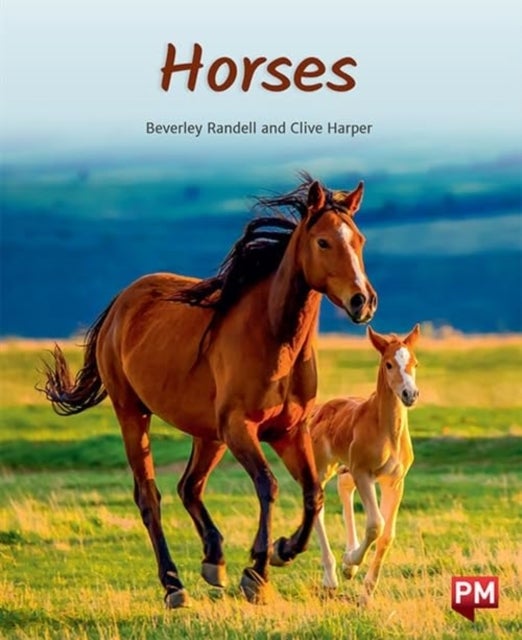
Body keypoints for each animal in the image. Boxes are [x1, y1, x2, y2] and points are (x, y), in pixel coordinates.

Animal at [40, 174, 378, 607]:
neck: (274, 339)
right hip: (134, 414)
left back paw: (213, 560)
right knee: (149, 497)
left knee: (189, 487)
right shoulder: (240, 429)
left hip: (207, 435)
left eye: (360, 240)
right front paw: (256, 573)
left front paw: (282, 550)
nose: (363, 301)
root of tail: (121, 303)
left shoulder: (288, 432)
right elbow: (268, 486)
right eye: (323, 242)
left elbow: (313, 493)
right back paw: (173, 585)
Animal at [309, 324, 420, 605]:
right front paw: (350, 561)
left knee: (344, 487)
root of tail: (319, 410)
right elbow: (375, 525)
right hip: (323, 467)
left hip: (346, 468)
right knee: (317, 506)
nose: (410, 394)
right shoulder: (364, 473)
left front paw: (366, 594)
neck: (387, 431)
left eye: (415, 363)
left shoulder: (395, 481)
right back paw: (332, 577)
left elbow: (387, 535)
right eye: (389, 364)